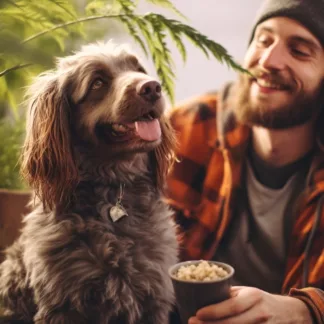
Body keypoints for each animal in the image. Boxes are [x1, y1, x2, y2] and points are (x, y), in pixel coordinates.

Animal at [0, 41, 177, 322]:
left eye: (138, 69)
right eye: (97, 83)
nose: (152, 87)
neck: (113, 191)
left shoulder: (154, 298)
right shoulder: (62, 304)